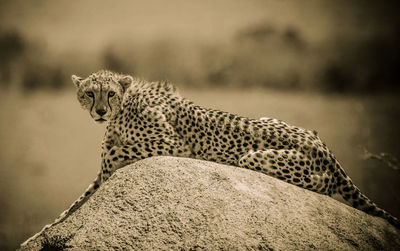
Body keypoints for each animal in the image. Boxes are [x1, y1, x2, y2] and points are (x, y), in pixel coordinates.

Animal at [21, 69, 396, 246]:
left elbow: (115, 153)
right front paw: (41, 233)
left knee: (322, 183)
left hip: (256, 158)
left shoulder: (173, 144)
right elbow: (73, 205)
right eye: (89, 94)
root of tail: (324, 146)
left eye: (110, 94)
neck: (124, 107)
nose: (99, 111)